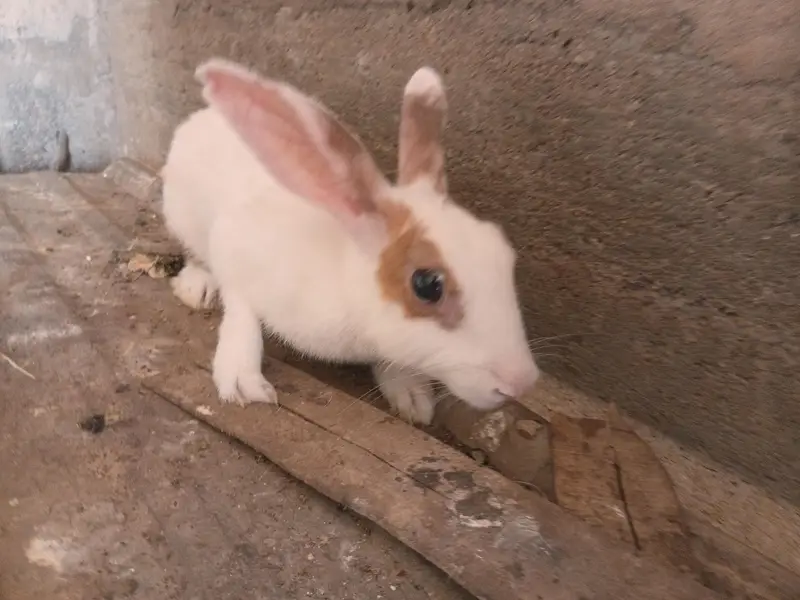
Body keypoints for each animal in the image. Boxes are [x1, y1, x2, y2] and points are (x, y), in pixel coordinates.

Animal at [160, 57, 539, 425]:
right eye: (428, 285)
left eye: (503, 250)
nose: (520, 383)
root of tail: (202, 117)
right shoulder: (236, 249)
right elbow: (242, 313)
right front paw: (243, 385)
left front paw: (412, 396)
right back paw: (197, 287)